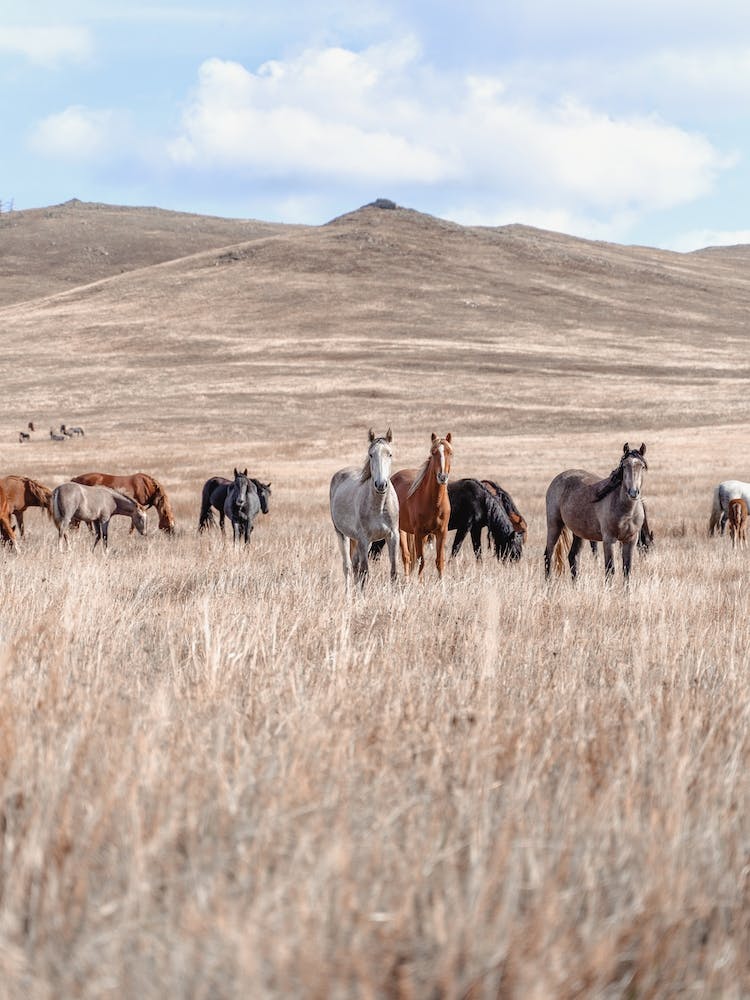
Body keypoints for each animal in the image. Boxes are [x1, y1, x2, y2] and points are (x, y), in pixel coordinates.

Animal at [329, 428, 399, 587]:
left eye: (390, 454)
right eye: (371, 454)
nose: (381, 484)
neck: (379, 506)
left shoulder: (392, 536)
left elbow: (394, 572)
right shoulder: (363, 538)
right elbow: (365, 573)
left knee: (355, 564)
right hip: (342, 534)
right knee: (348, 567)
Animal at [391, 432, 453, 578]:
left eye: (450, 452)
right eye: (433, 452)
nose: (442, 477)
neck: (434, 502)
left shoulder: (441, 532)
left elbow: (439, 561)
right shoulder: (419, 533)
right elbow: (421, 561)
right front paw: (420, 583)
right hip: (400, 530)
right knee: (406, 557)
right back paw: (407, 581)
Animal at [544, 442, 648, 581]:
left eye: (642, 466)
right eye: (624, 466)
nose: (633, 492)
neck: (627, 511)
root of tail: (557, 479)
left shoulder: (630, 540)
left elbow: (627, 570)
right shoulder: (609, 540)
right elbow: (610, 569)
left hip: (579, 533)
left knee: (573, 556)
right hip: (554, 525)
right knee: (548, 555)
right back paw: (548, 585)